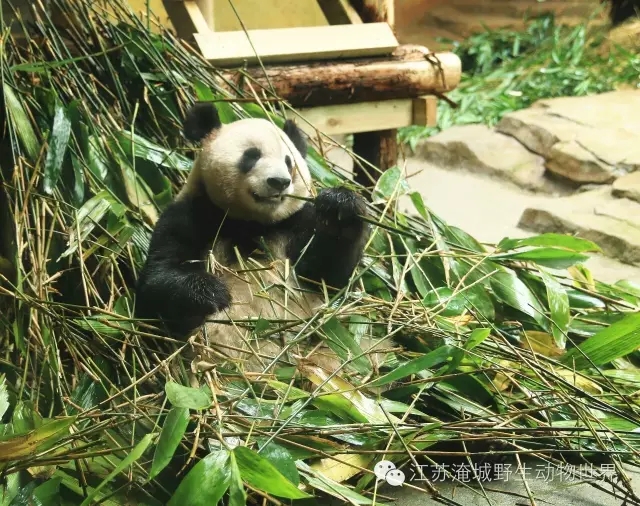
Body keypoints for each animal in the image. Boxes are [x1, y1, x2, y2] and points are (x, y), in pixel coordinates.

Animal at [134, 102, 373, 374]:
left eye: (289, 162)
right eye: (251, 156)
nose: (279, 182)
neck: (251, 223)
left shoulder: (294, 225)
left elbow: (327, 277)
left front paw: (340, 207)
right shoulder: (192, 214)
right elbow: (156, 281)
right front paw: (212, 292)